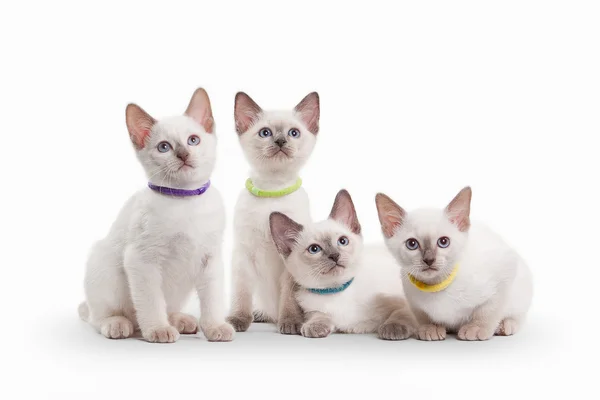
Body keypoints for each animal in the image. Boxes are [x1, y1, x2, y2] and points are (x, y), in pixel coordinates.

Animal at [77, 89, 232, 342]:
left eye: (193, 140)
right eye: (164, 147)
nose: (183, 154)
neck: (185, 199)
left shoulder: (211, 259)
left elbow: (213, 300)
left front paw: (215, 327)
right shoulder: (142, 260)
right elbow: (151, 302)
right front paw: (158, 330)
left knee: (168, 308)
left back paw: (181, 320)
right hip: (103, 267)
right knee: (100, 316)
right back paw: (118, 324)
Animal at [225, 92, 318, 332]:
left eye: (293, 133)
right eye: (265, 133)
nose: (280, 141)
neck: (272, 190)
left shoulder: (290, 259)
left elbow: (288, 297)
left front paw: (290, 323)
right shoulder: (243, 254)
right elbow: (241, 295)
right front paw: (237, 320)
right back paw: (258, 314)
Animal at [270, 189, 414, 340]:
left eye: (342, 241)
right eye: (314, 249)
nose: (334, 256)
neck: (337, 291)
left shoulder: (402, 299)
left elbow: (402, 312)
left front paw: (393, 328)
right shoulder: (314, 311)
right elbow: (319, 315)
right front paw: (314, 326)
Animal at [376, 188, 536, 340]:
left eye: (443, 242)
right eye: (412, 244)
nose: (429, 260)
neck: (436, 286)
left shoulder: (504, 274)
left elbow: (487, 311)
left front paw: (476, 328)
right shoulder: (413, 301)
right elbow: (423, 317)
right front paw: (430, 328)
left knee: (517, 316)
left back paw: (505, 326)